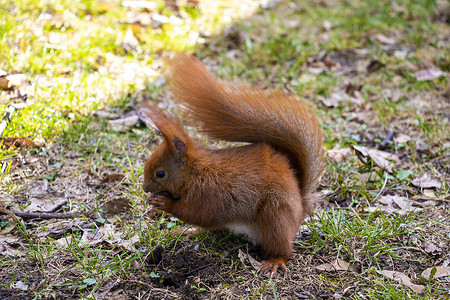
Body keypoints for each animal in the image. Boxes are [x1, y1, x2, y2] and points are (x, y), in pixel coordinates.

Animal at [141, 53, 324, 274]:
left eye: (160, 173)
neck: (195, 171)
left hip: (276, 216)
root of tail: (300, 208)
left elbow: (199, 213)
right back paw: (190, 232)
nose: (145, 188)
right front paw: (153, 202)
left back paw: (276, 261)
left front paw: (164, 203)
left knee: (283, 247)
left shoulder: (209, 193)